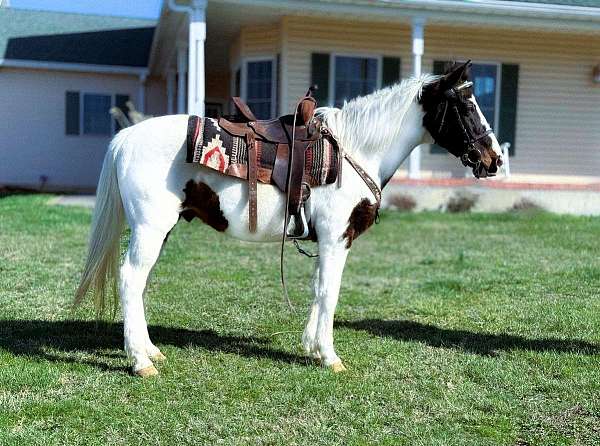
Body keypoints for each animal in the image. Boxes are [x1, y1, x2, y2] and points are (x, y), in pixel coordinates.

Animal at [77, 61, 504, 376]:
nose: (494, 158)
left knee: (138, 284)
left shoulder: (329, 242)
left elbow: (318, 290)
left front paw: (312, 349)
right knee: (130, 279)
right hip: (150, 230)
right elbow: (330, 293)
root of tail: (126, 137)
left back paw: (151, 351)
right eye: (466, 106)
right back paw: (140, 363)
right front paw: (330, 357)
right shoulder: (336, 238)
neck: (355, 151)